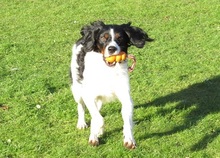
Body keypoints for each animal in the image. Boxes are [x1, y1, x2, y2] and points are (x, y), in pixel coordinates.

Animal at [70, 20, 153, 148]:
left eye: (120, 38)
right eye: (103, 38)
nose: (112, 48)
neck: (107, 70)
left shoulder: (125, 96)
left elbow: (127, 119)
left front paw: (129, 139)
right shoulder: (88, 95)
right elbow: (98, 118)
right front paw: (97, 132)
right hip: (77, 88)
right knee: (81, 106)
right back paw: (82, 124)